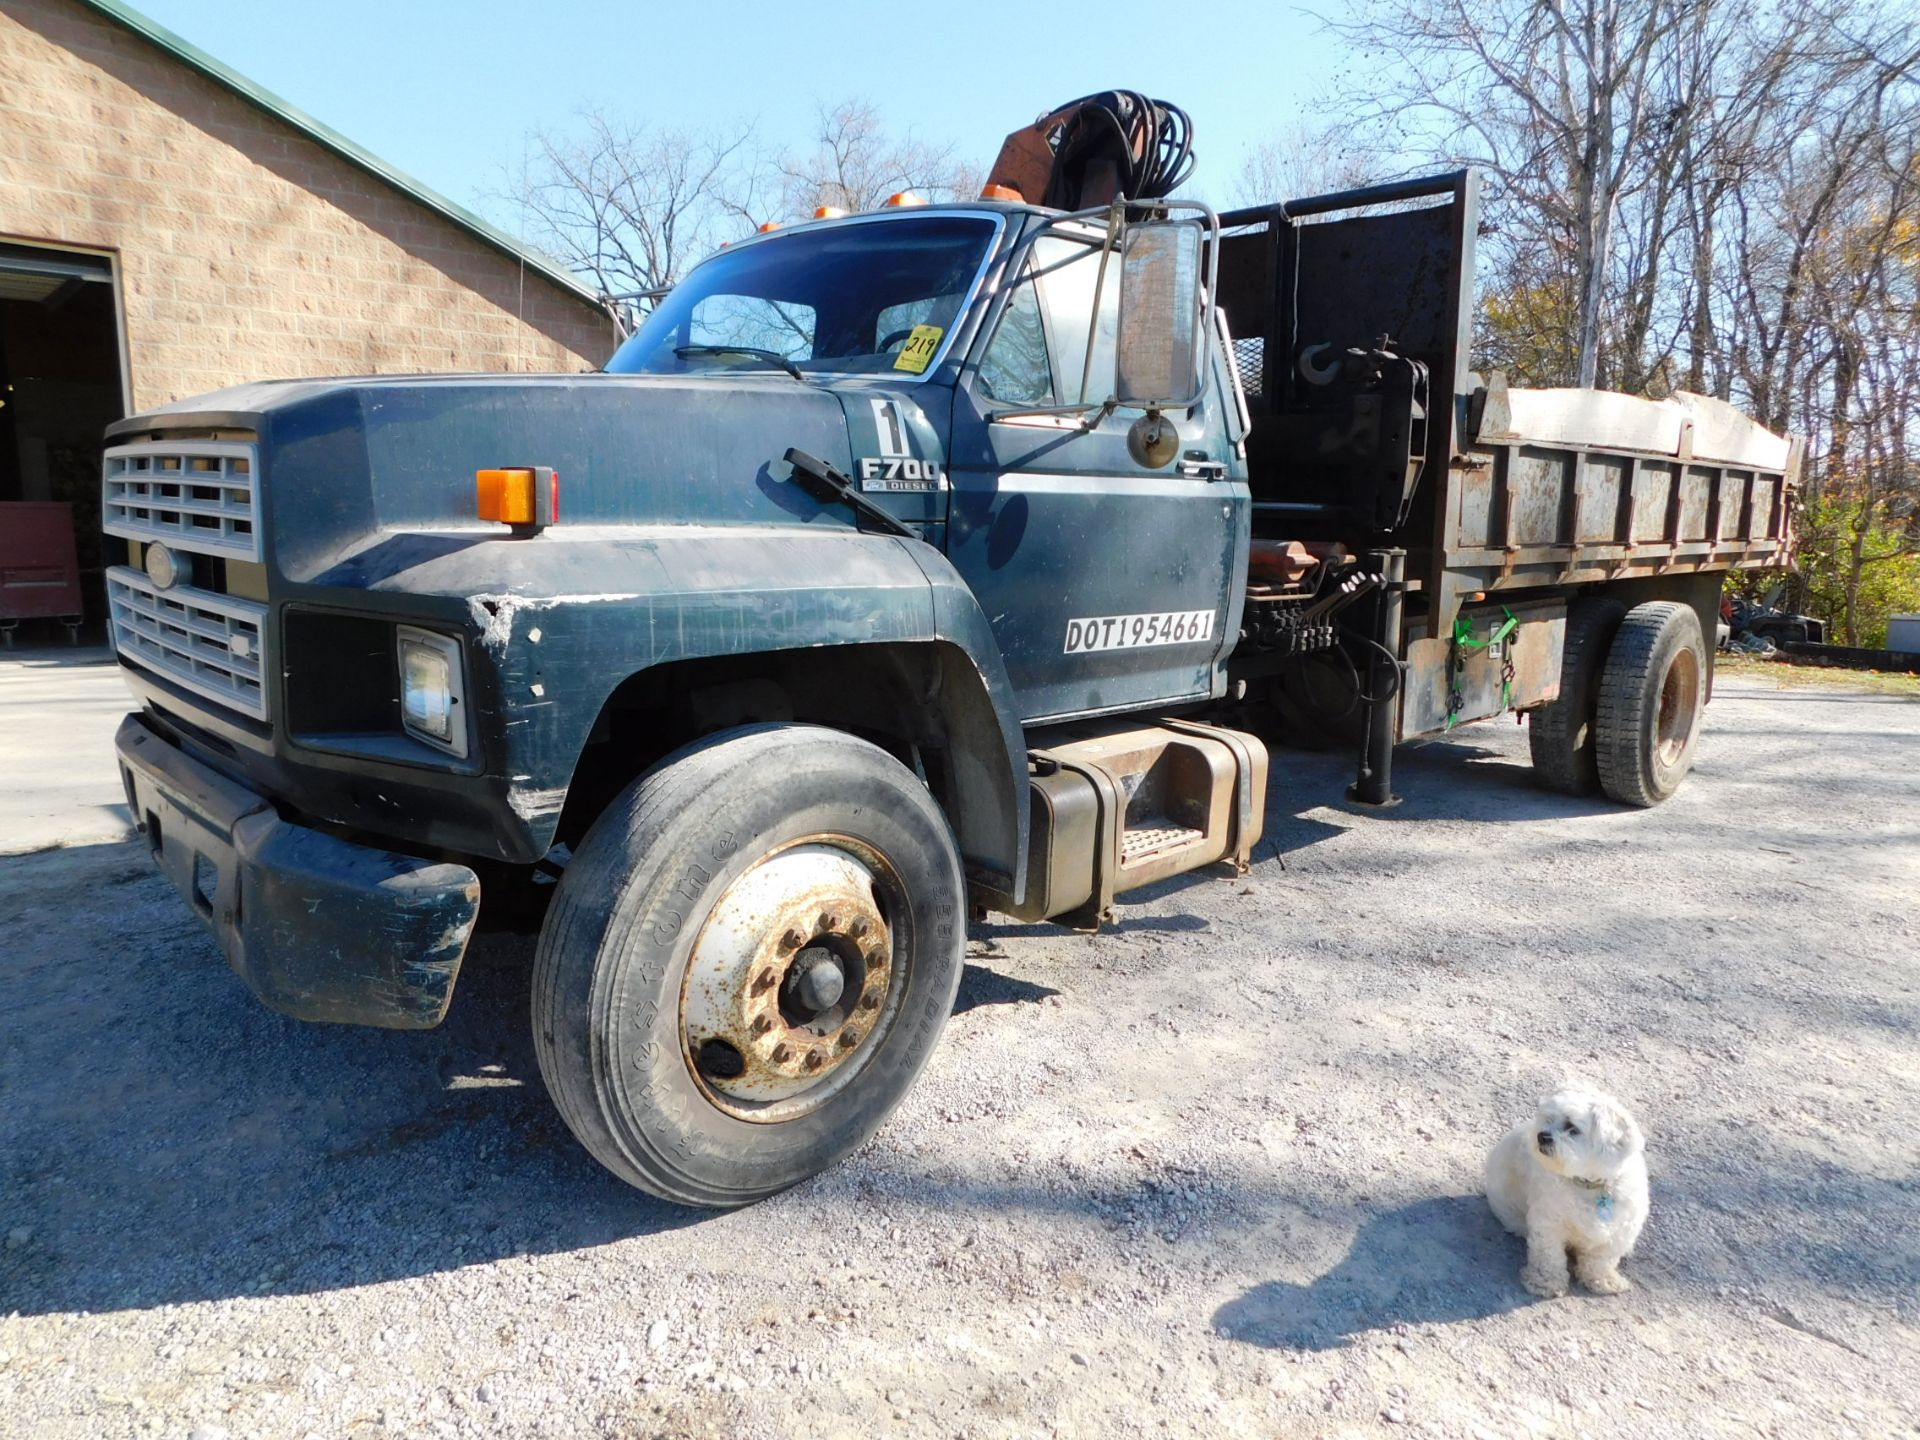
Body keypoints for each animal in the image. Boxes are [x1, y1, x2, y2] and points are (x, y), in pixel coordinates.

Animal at [1482, 1090, 1651, 1305]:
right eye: (1549, 1119)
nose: (1542, 1136)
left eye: (1572, 1128)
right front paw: (1545, 1282)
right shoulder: (1549, 1224)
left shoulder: (1620, 1230)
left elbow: (1601, 1260)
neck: (1591, 1185)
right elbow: (1549, 1256)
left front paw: (1603, 1280)